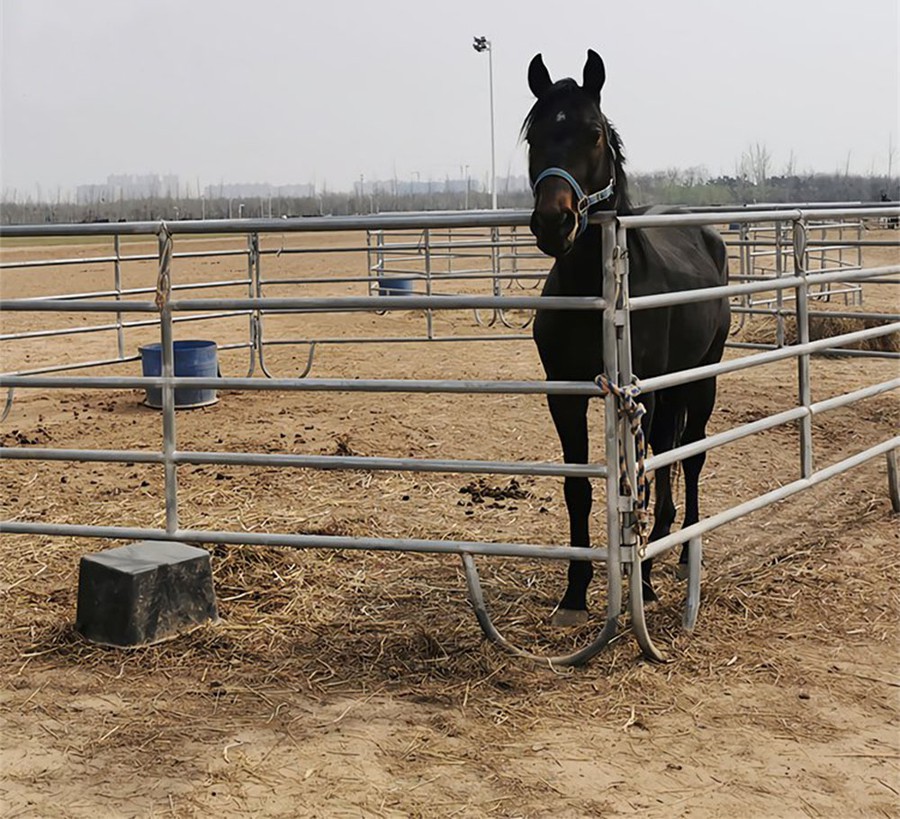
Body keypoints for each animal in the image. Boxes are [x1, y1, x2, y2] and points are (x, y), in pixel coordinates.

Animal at [525, 50, 731, 626]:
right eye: (533, 137)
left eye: (593, 134)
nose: (554, 222)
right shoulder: (565, 392)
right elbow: (578, 486)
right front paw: (574, 594)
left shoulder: (641, 391)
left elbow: (638, 475)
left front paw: (643, 578)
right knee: (667, 452)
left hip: (699, 378)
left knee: (687, 453)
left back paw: (677, 553)